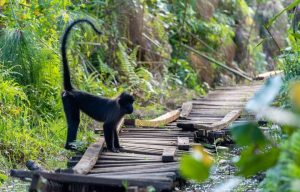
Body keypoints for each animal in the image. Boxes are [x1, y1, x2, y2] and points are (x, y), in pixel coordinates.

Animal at [60, 18, 134, 152]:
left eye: (132, 102)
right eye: (128, 103)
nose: (132, 108)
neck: (120, 106)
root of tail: (71, 90)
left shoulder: (118, 117)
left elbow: (114, 129)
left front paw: (118, 146)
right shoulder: (115, 112)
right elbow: (107, 126)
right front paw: (111, 148)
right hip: (69, 100)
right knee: (74, 121)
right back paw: (70, 147)